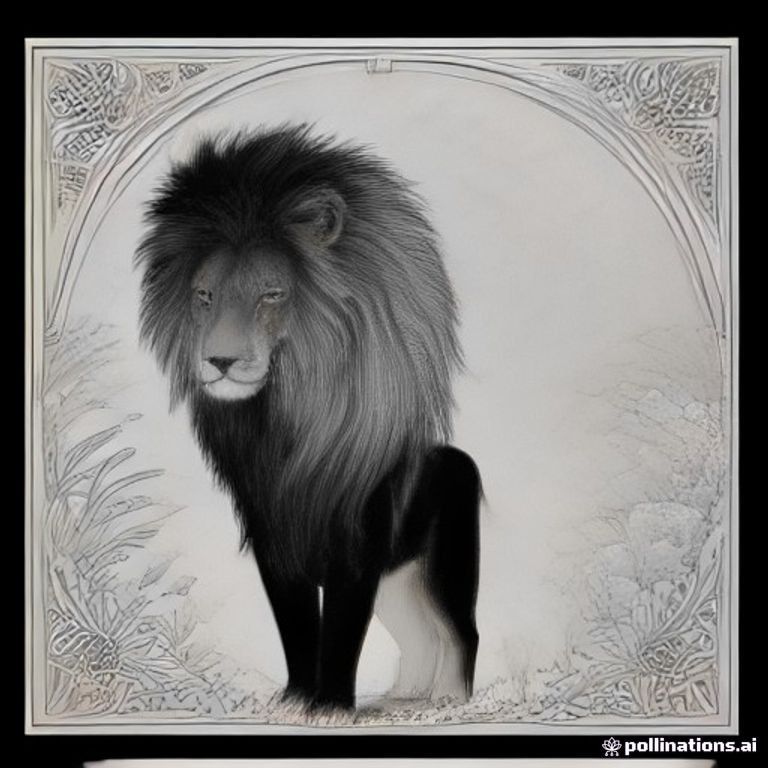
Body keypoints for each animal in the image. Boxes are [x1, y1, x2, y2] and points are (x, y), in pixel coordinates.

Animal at [136, 125, 481, 711]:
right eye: (204, 295)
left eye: (271, 294)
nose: (219, 361)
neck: (282, 427)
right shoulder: (273, 543)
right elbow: (296, 628)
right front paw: (297, 702)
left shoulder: (357, 551)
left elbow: (341, 633)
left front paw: (333, 708)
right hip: (398, 583)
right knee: (419, 634)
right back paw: (406, 698)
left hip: (446, 568)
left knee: (462, 630)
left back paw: (452, 702)